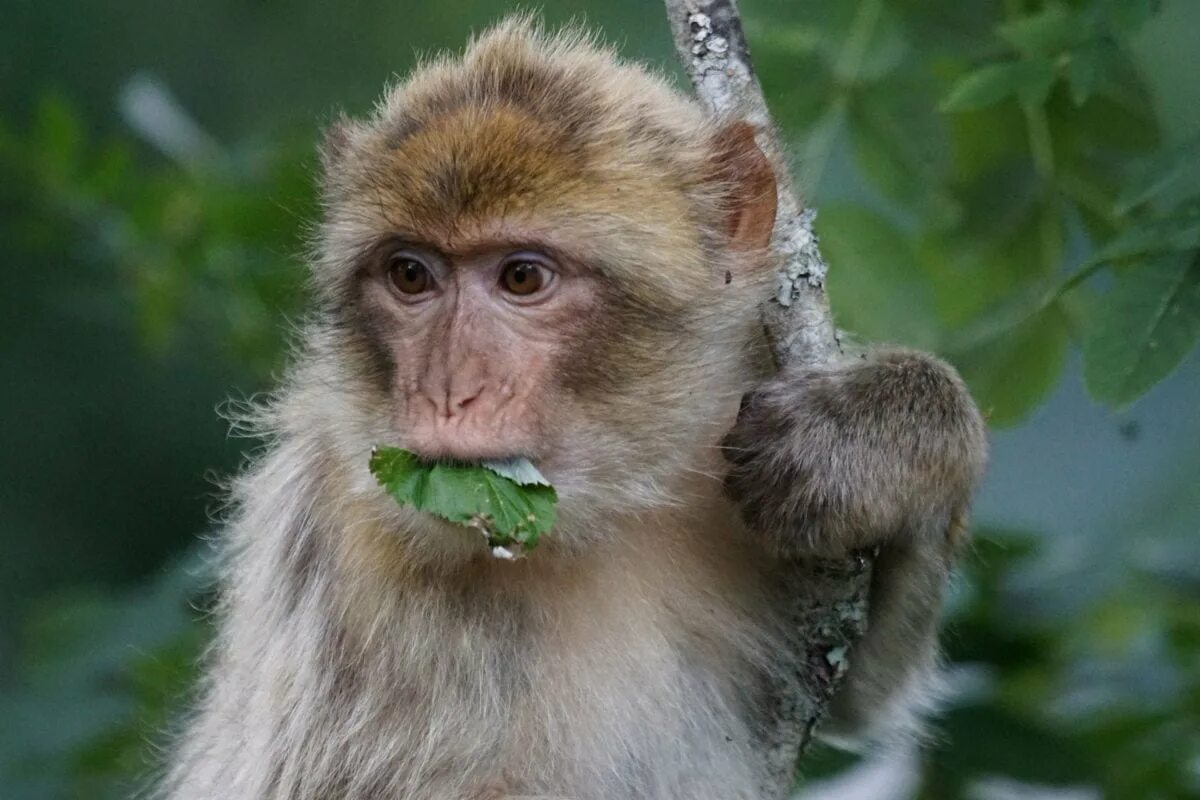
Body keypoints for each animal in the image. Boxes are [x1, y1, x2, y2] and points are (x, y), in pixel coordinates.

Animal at [159, 17, 984, 800]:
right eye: (410, 275)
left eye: (522, 277)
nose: (446, 391)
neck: (602, 518)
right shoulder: (352, 552)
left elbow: (861, 690)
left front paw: (873, 441)